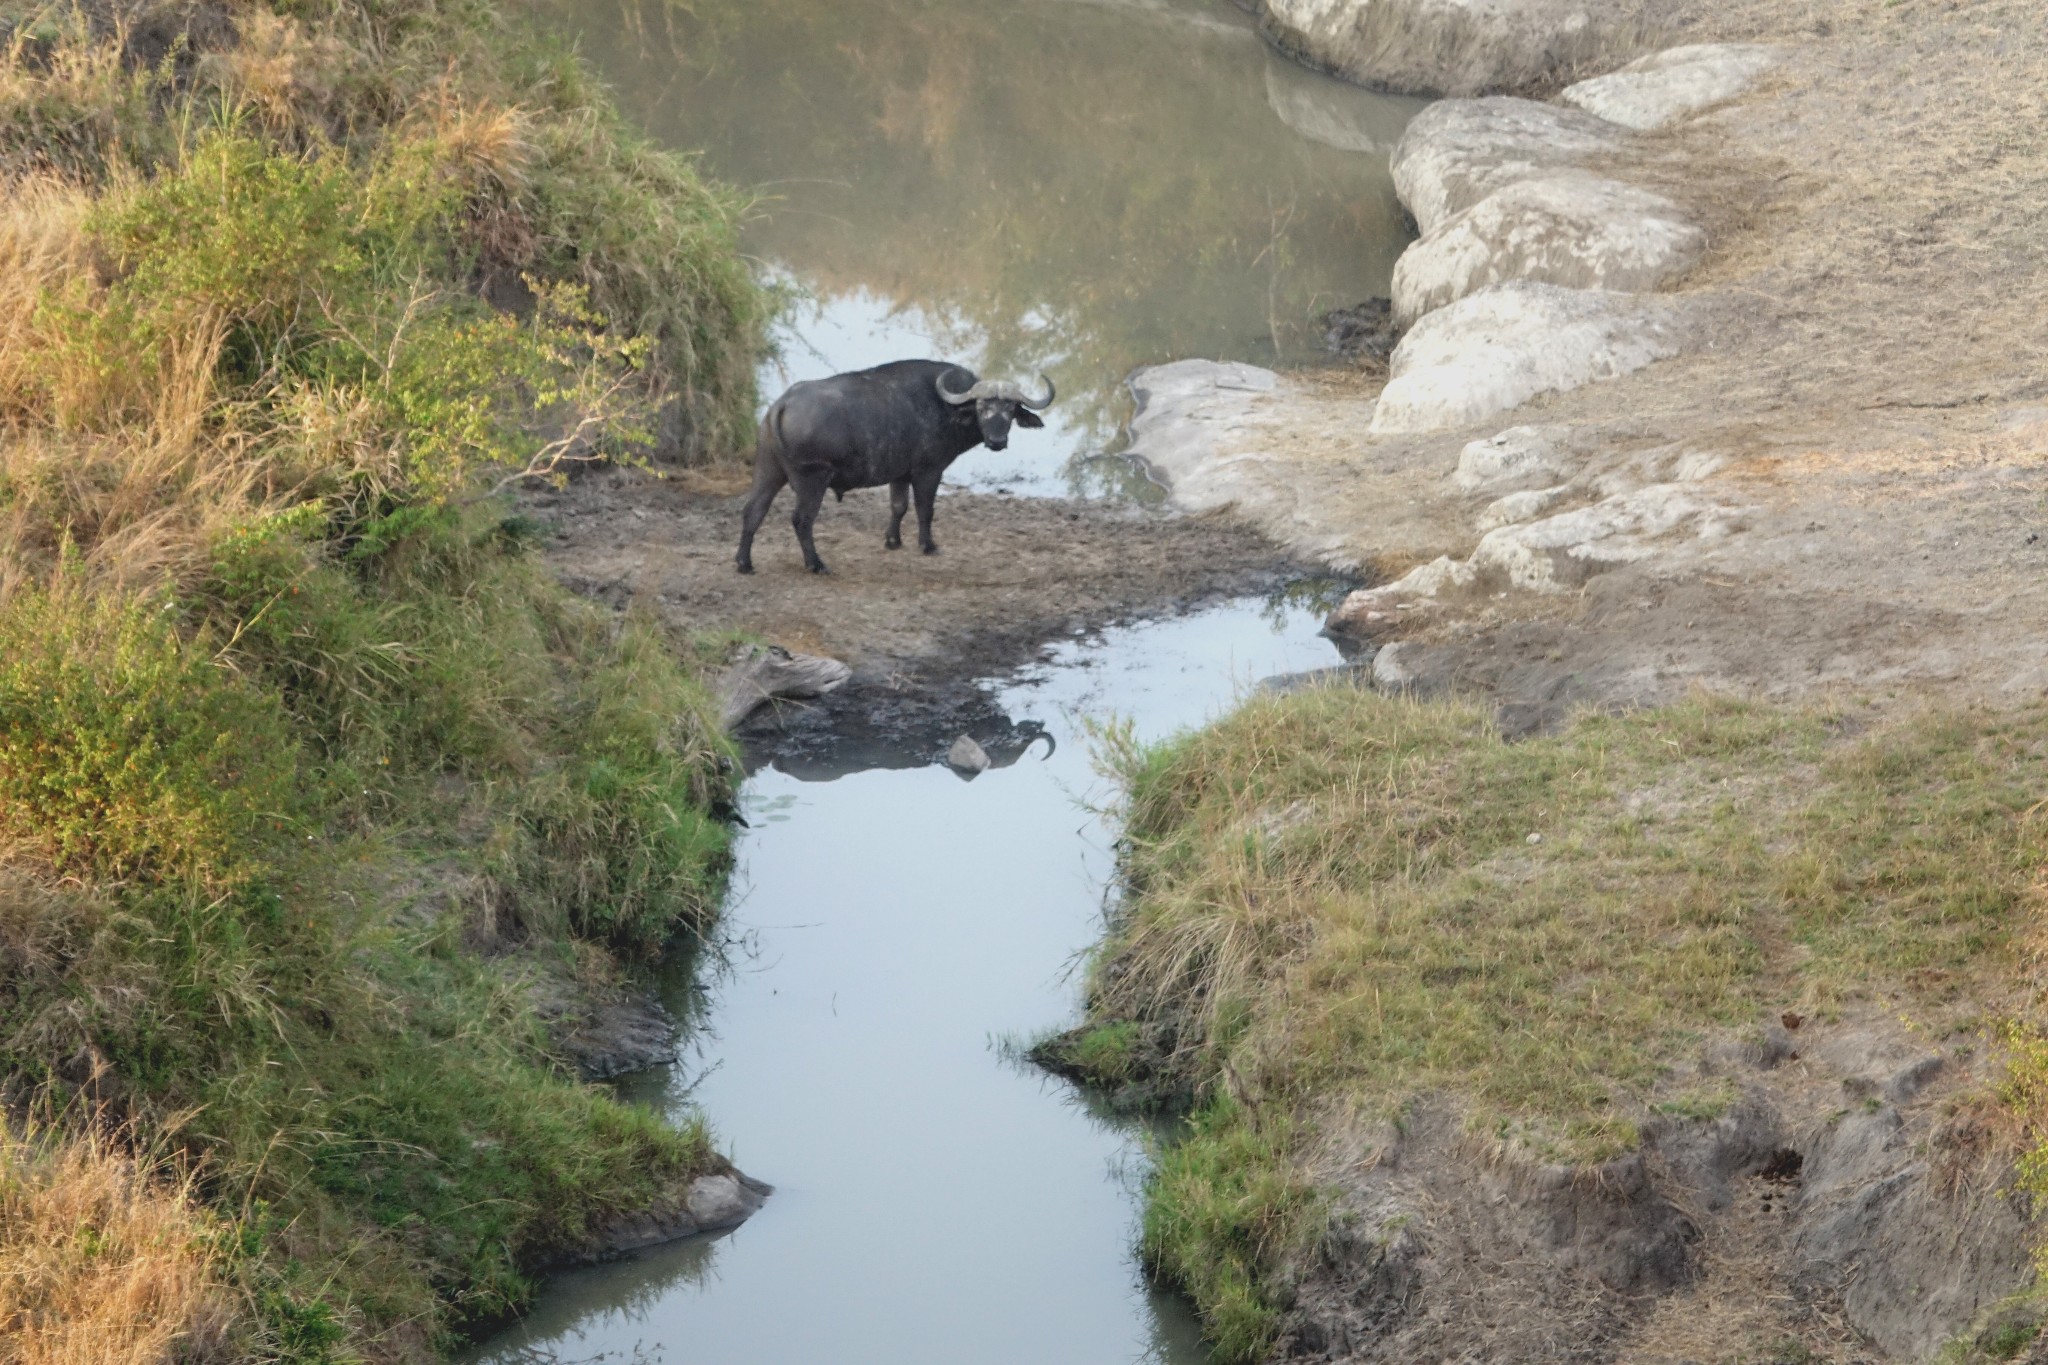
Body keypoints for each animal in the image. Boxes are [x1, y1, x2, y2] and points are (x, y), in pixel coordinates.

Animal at [737, 360, 1056, 573]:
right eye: (982, 407)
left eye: (1010, 409)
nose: (997, 441)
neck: (944, 407)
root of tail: (781, 405)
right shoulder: (928, 471)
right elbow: (925, 510)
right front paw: (928, 545)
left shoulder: (899, 474)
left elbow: (898, 506)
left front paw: (893, 541)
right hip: (812, 480)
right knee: (801, 520)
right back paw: (816, 564)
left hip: (768, 470)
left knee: (753, 511)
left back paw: (744, 563)